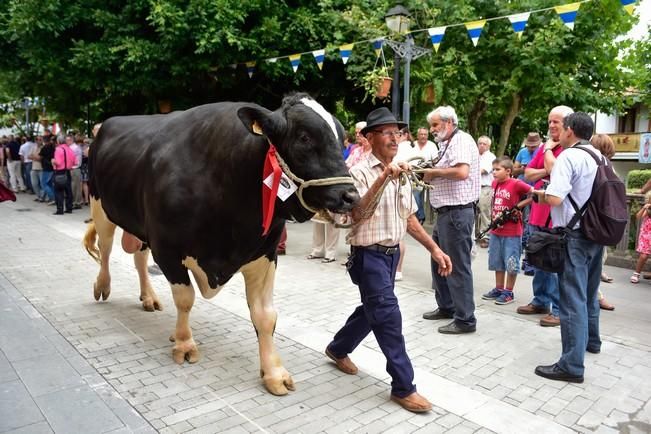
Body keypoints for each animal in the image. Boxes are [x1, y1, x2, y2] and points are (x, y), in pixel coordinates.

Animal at [83, 93, 360, 396]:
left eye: (342, 138)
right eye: (304, 137)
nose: (350, 196)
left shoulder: (264, 254)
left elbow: (265, 315)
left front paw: (274, 373)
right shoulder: (167, 248)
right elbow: (185, 298)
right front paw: (184, 343)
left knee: (139, 259)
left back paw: (149, 297)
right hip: (100, 204)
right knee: (106, 249)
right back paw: (102, 286)